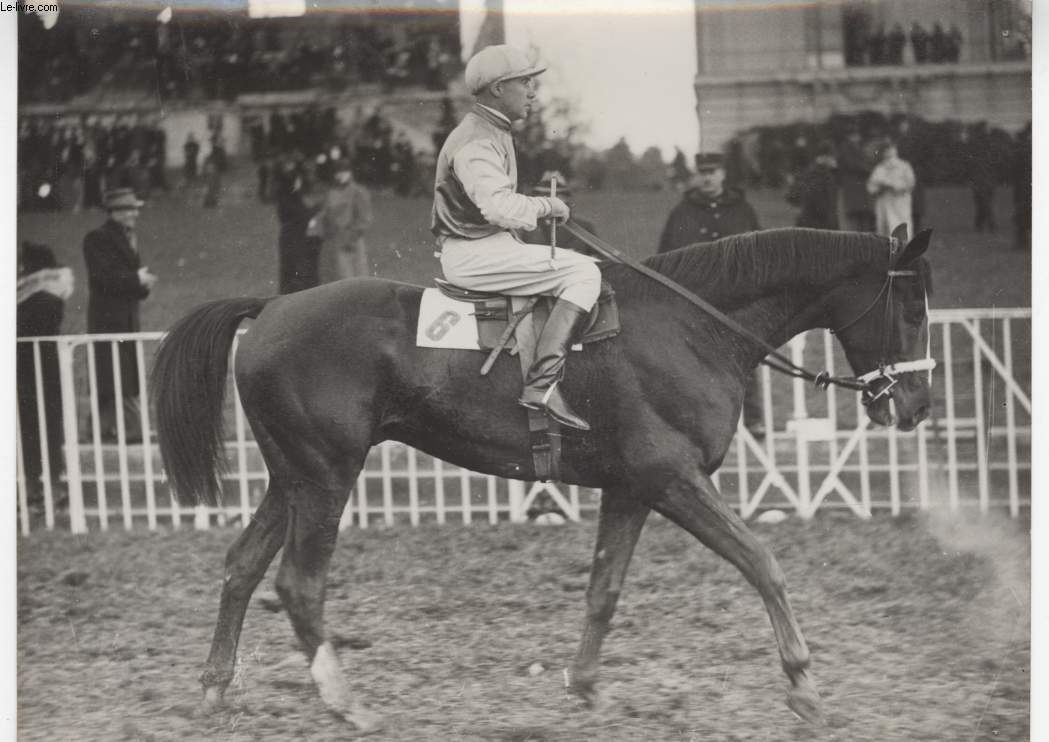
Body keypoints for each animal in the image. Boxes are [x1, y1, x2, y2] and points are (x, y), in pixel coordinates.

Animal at [150, 226, 935, 730]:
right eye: (911, 306)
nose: (917, 404)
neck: (688, 328)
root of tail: (272, 306)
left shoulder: (630, 490)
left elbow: (603, 590)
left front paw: (584, 686)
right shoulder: (672, 480)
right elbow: (762, 562)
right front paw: (802, 681)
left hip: (293, 480)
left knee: (242, 567)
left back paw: (216, 690)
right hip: (324, 481)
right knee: (298, 584)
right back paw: (346, 702)